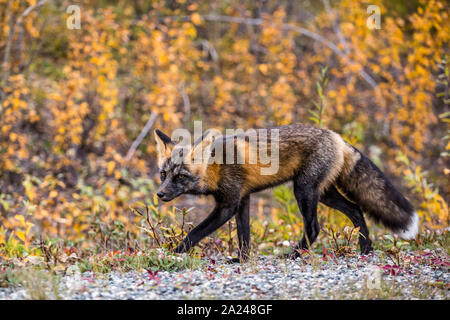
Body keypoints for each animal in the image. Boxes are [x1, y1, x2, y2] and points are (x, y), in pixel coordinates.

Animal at [154, 124, 418, 262]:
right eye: (163, 174)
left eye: (181, 177)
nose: (160, 195)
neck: (217, 167)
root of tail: (338, 137)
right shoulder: (243, 199)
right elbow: (244, 236)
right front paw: (242, 260)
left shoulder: (227, 205)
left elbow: (195, 232)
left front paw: (173, 253)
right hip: (324, 194)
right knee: (356, 211)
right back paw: (365, 249)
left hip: (304, 191)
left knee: (314, 228)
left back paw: (293, 254)